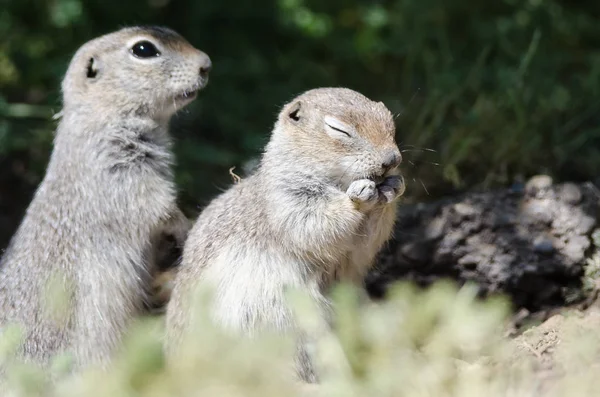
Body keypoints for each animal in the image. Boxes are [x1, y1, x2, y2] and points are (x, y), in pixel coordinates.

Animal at [0, 25, 211, 368]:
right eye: (143, 49)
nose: (206, 64)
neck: (101, 117)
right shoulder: (121, 175)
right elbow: (159, 209)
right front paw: (185, 227)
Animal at [166, 86, 406, 380]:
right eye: (339, 130)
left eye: (389, 121)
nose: (392, 160)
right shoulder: (287, 199)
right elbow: (313, 223)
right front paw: (357, 199)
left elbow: (365, 244)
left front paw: (394, 186)